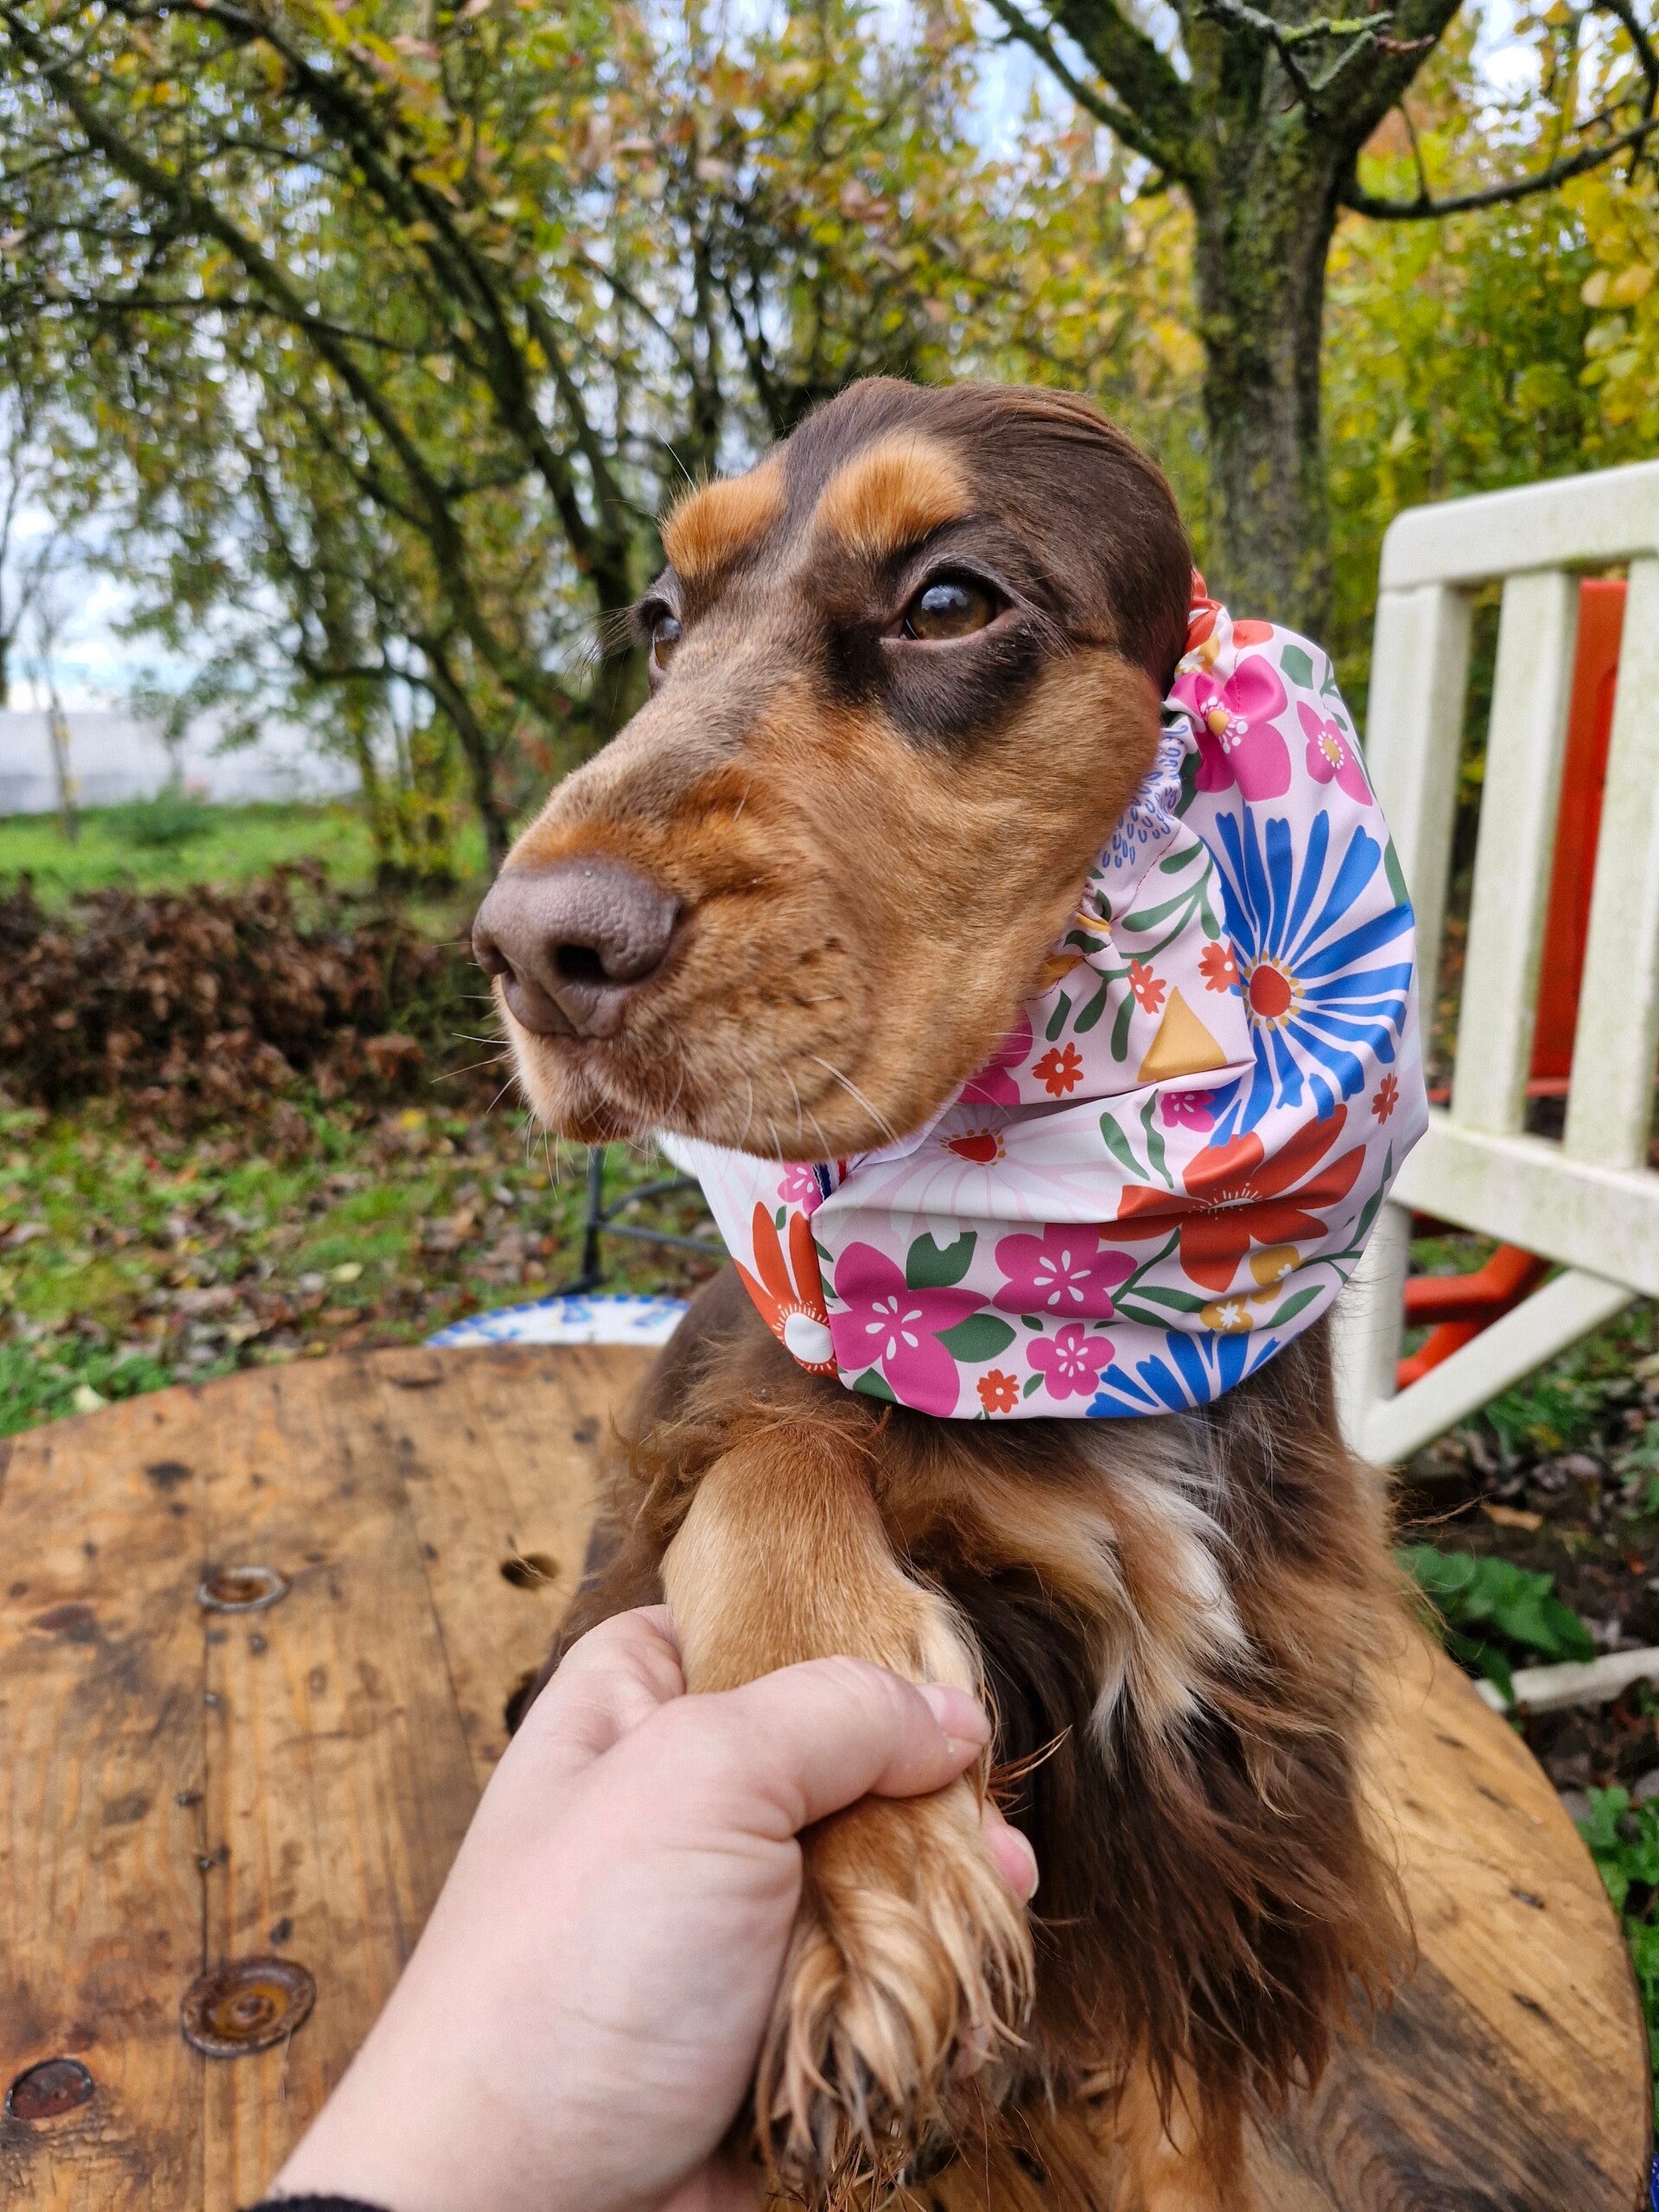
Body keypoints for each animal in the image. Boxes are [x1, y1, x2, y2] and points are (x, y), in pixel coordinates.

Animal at [474, 378, 1410, 2207]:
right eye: (663, 620)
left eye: (951, 600)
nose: (535, 951)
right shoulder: (729, 1437)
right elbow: (774, 1473)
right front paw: (859, 1888)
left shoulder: (1240, 1804)